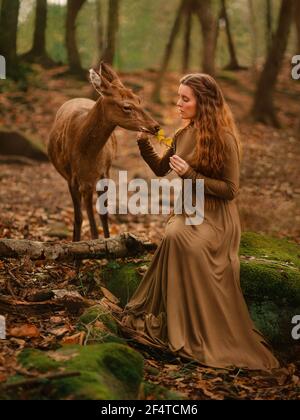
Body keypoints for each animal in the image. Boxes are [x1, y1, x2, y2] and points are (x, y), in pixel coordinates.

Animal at [47, 61, 159, 243]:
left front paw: (106, 242)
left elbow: (103, 214)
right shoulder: (73, 177)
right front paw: (80, 246)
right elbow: (79, 217)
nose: (155, 126)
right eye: (126, 106)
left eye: (139, 99)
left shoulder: (103, 172)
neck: (85, 152)